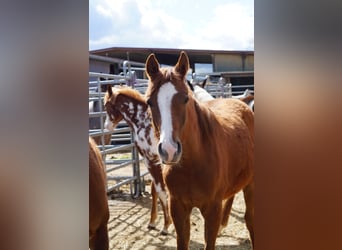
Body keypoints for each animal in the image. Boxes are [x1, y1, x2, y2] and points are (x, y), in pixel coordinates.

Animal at [101, 86, 171, 234]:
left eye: (106, 105)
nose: (107, 127)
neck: (145, 122)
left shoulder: (153, 160)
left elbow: (161, 190)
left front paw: (166, 225)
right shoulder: (150, 160)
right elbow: (155, 190)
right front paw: (152, 222)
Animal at [144, 51, 254, 249]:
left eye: (185, 99)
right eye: (149, 102)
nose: (169, 150)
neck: (193, 164)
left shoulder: (212, 210)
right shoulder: (178, 208)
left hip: (251, 184)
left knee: (250, 219)